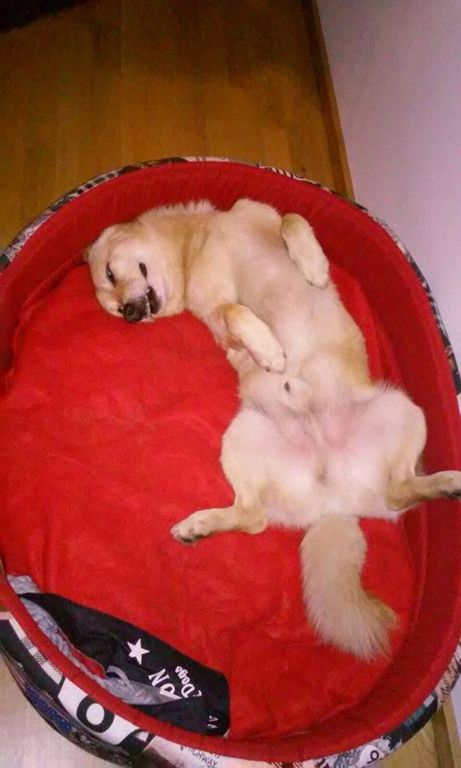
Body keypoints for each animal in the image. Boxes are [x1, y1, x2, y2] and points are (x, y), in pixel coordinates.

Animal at [86, 198, 461, 659]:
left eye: (109, 274)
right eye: (113, 307)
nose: (129, 314)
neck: (198, 244)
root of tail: (333, 503)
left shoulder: (265, 216)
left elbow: (293, 221)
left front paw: (314, 267)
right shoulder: (219, 316)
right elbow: (235, 311)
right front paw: (270, 351)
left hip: (403, 408)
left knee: (397, 489)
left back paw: (447, 483)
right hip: (243, 435)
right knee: (257, 518)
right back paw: (199, 527)